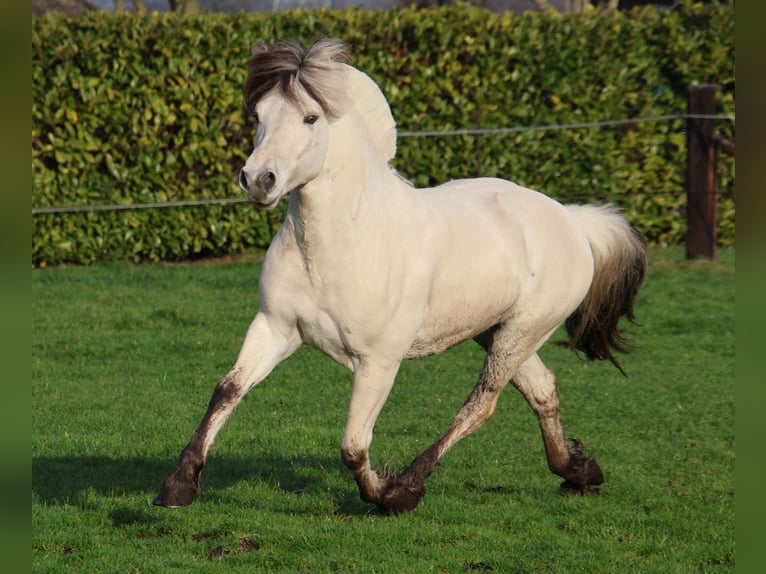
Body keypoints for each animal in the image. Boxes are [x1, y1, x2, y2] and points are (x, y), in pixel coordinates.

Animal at [154, 38, 647, 514]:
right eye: (258, 116)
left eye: (311, 117)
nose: (258, 180)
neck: (340, 246)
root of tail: (571, 220)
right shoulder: (276, 327)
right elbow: (228, 389)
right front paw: (177, 487)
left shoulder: (378, 361)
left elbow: (353, 445)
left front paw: (386, 495)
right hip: (496, 330)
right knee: (542, 390)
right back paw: (579, 471)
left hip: (521, 332)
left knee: (480, 405)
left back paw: (410, 485)